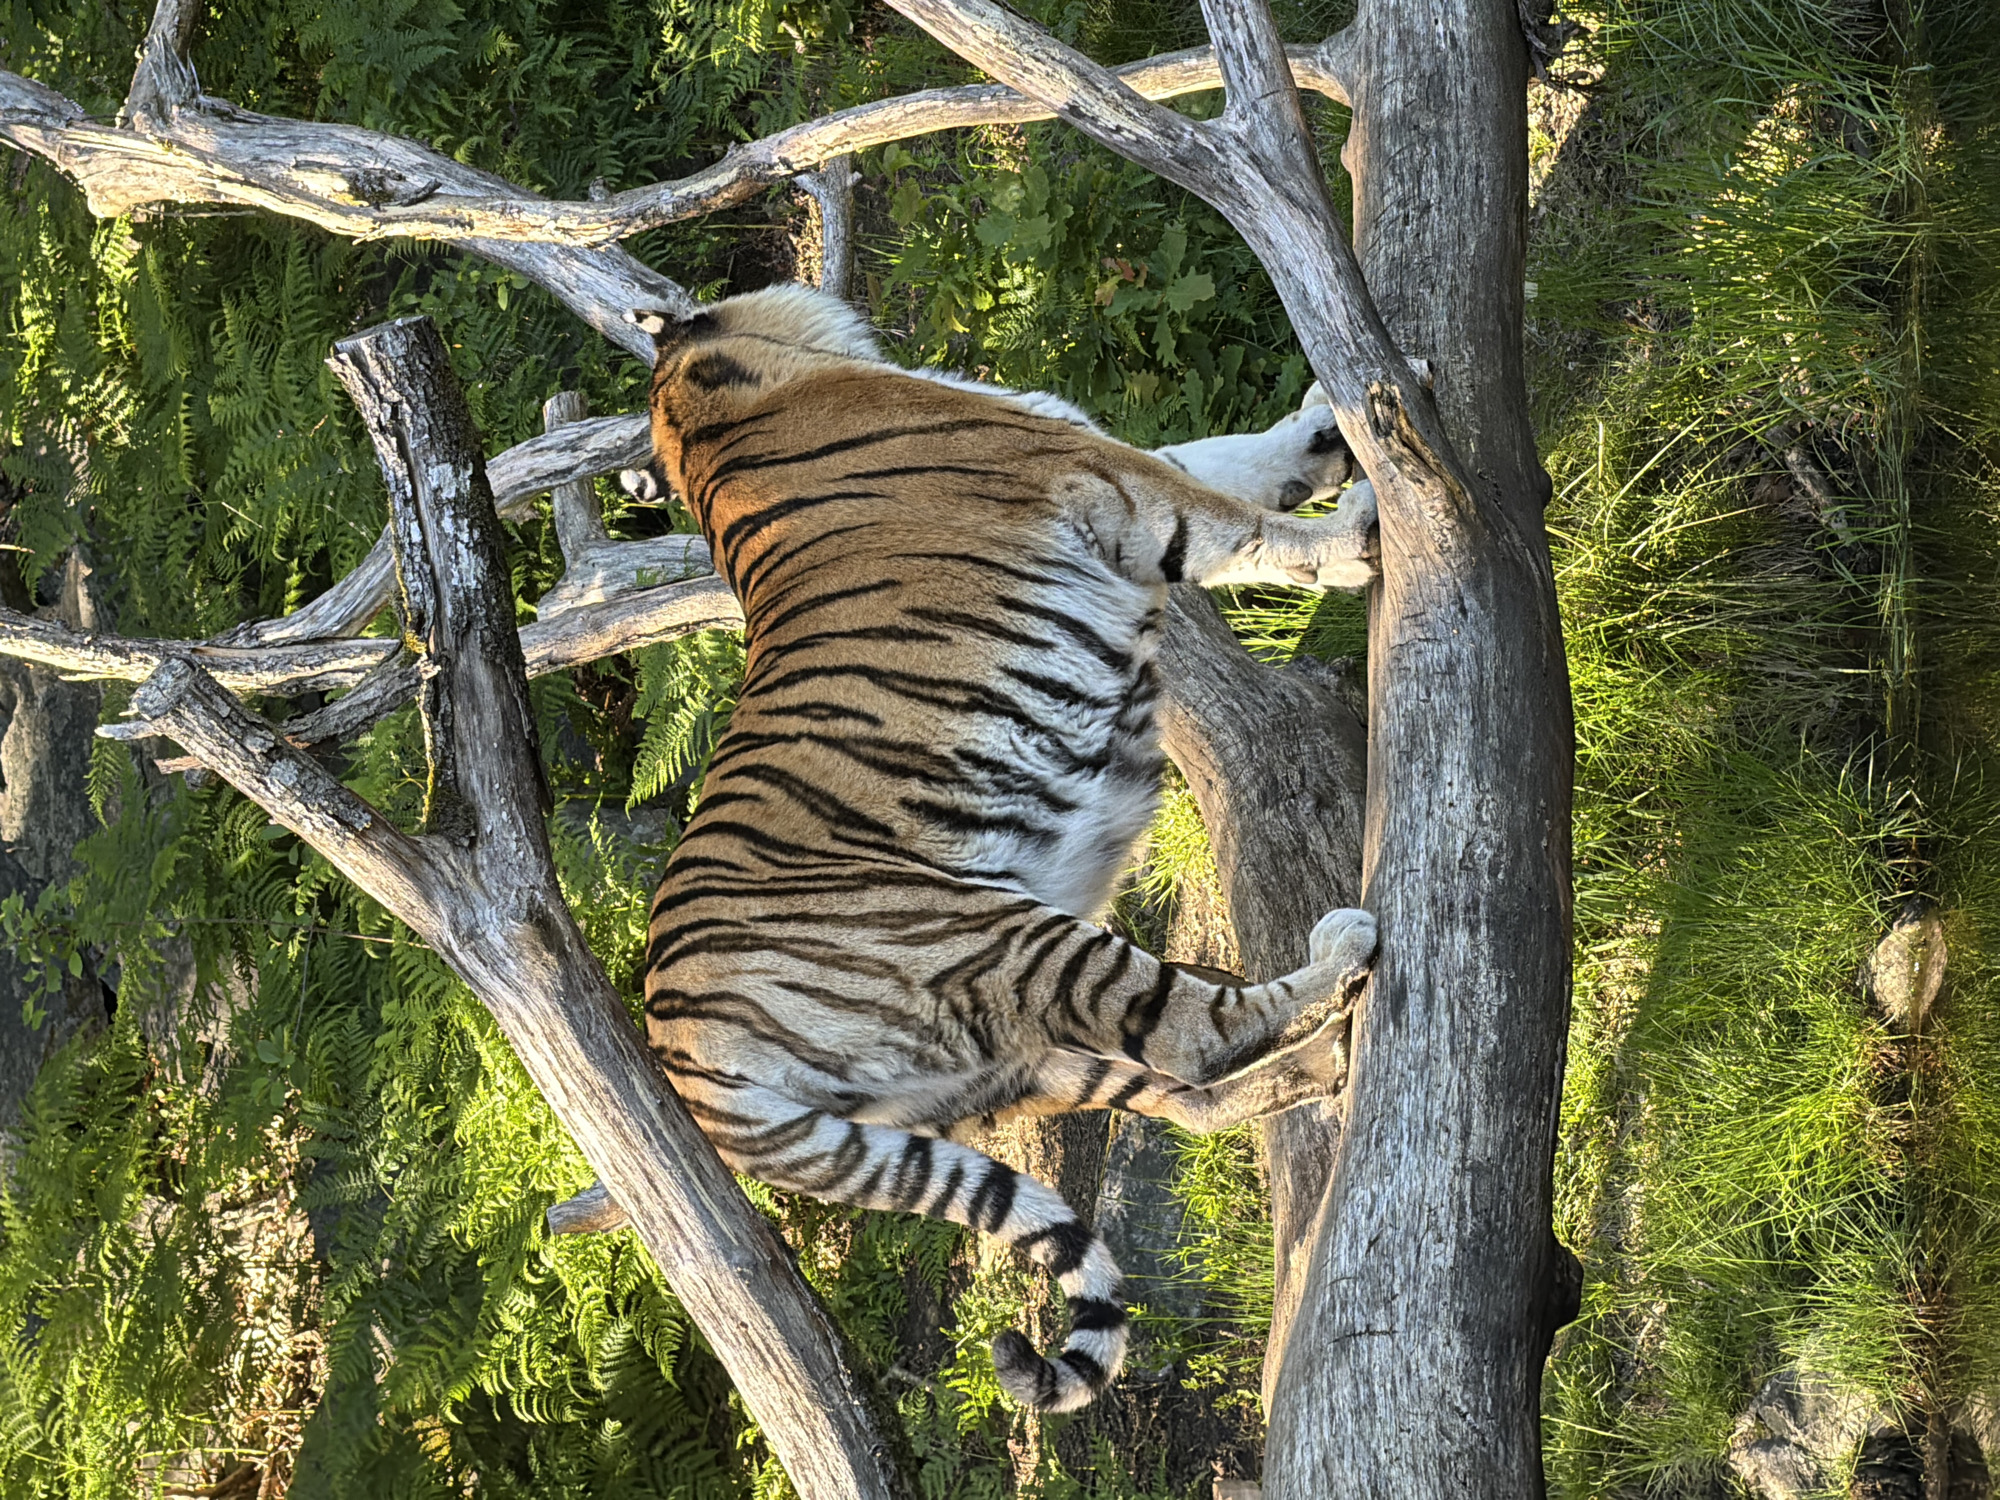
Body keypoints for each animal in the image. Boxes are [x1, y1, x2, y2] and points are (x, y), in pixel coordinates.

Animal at [619, 283, 1380, 1412]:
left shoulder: (1109, 456)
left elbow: (1236, 455)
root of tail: (681, 1061)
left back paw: (1323, 1056)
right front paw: (1350, 537)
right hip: (986, 936)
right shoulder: (1109, 482)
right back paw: (1340, 953)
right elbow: (1242, 519)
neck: (712, 416)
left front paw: (1323, 432)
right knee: (1190, 1034)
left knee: (1186, 1098)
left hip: (1001, 1069)